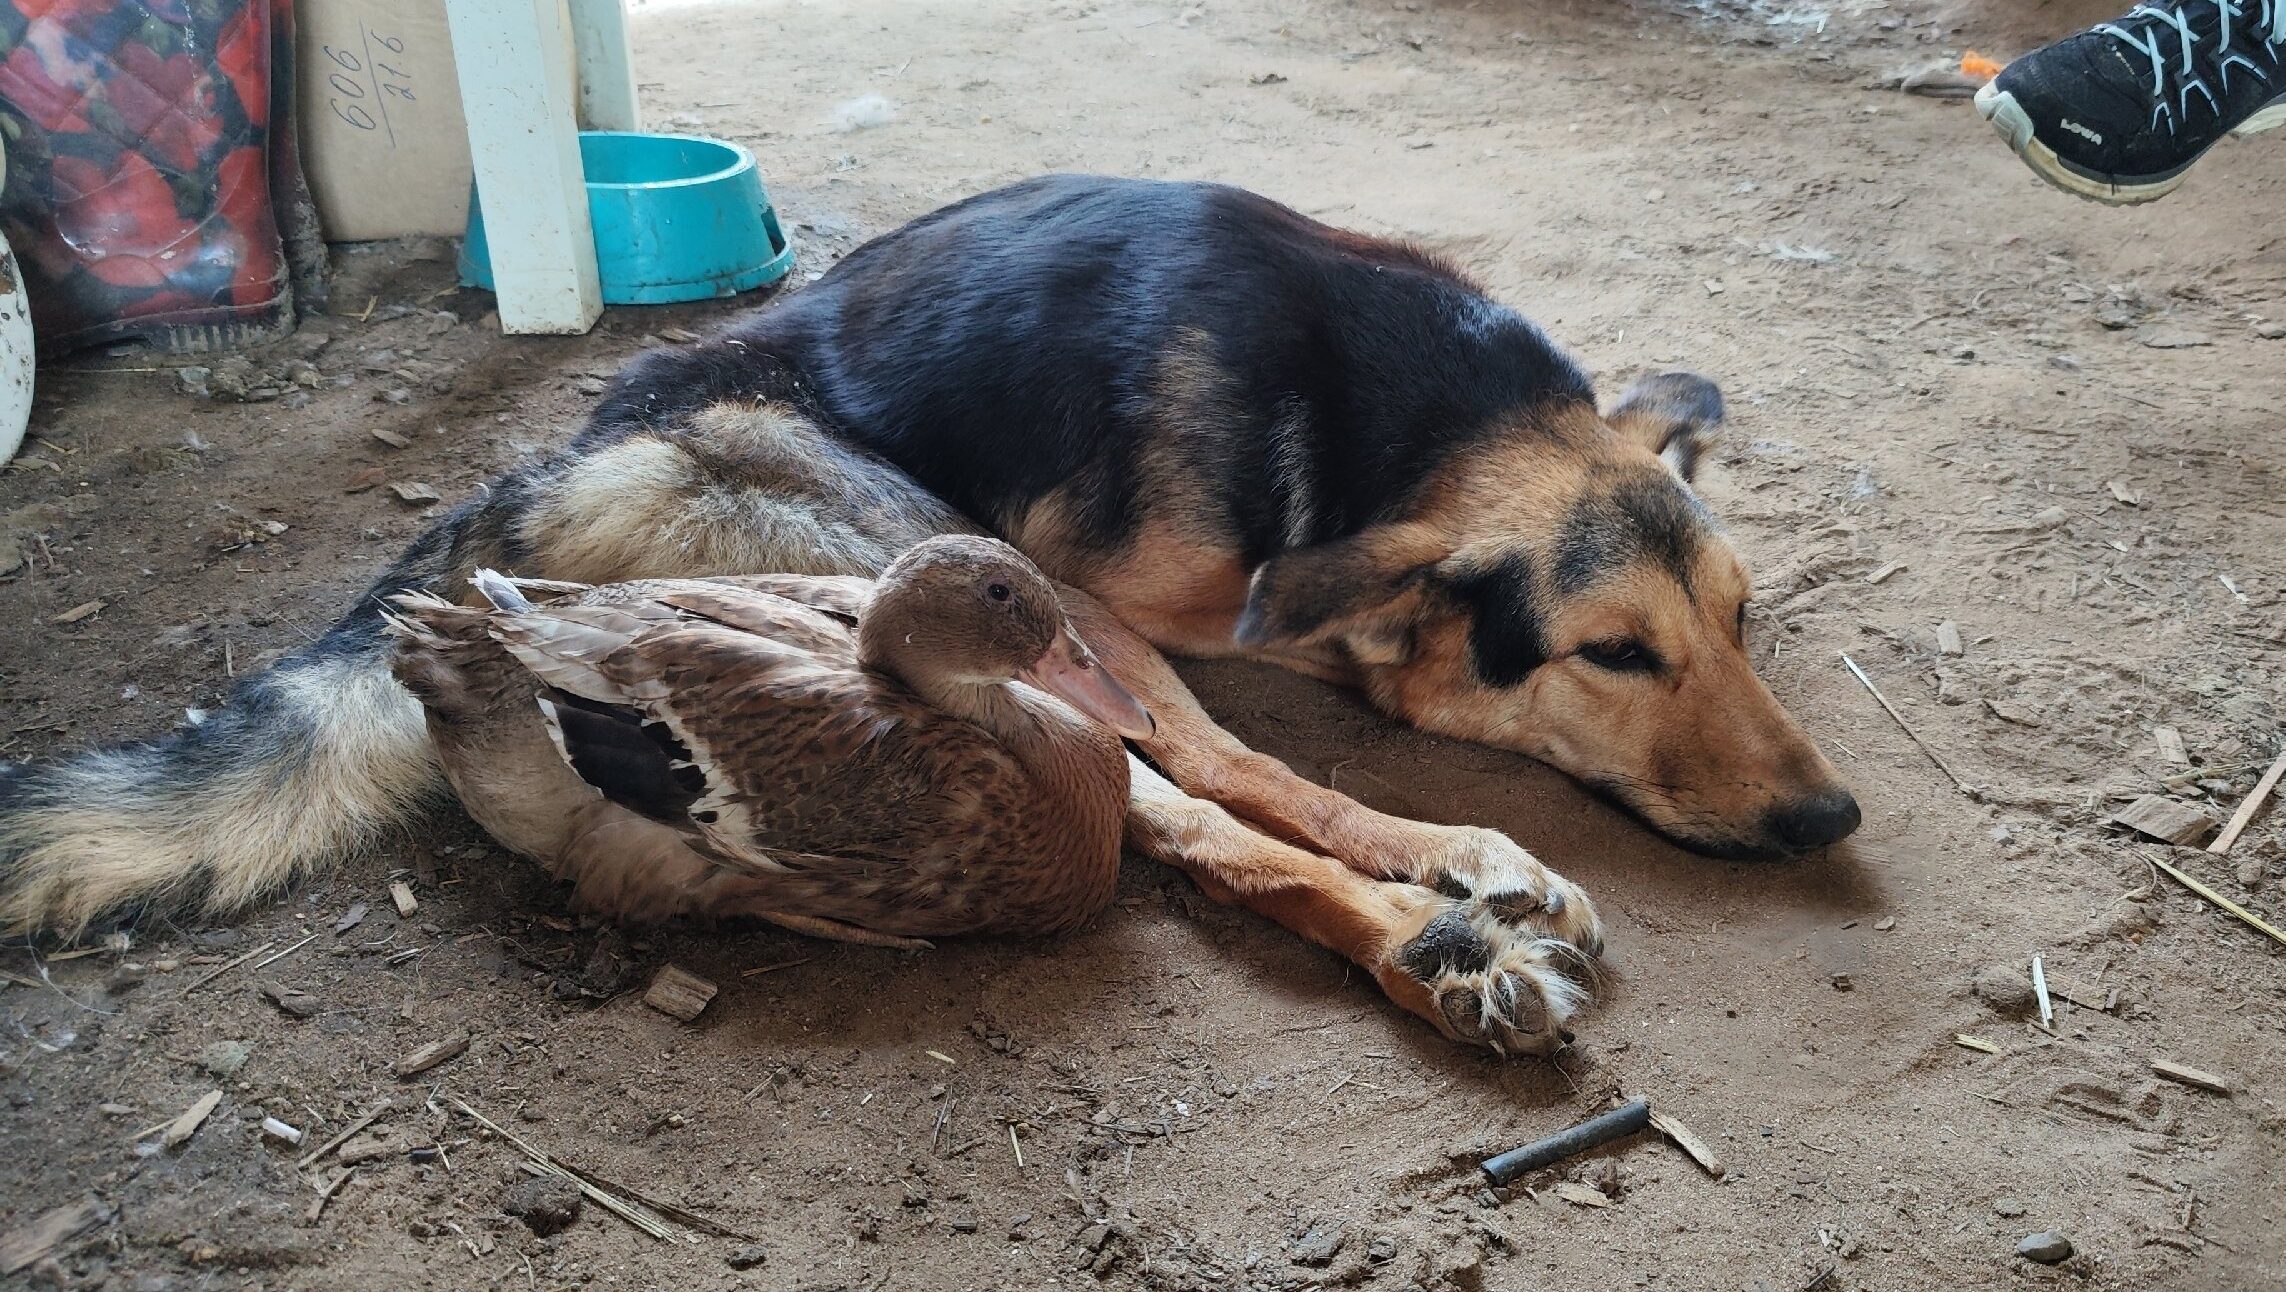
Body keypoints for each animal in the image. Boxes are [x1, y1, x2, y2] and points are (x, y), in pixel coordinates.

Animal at [0, 176, 1856, 1051]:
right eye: (1616, 654)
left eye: (1743, 621)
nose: (1828, 818)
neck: (1384, 415)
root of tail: (567, 457)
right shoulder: (1103, 599)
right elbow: (1219, 767)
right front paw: (1432, 887)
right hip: (966, 578)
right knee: (1181, 799)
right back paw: (1437, 930)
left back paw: (1452, 894)